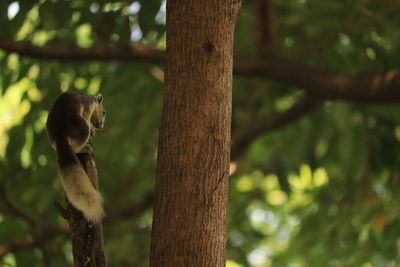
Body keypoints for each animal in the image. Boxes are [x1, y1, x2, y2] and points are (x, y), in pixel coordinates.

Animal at [46, 92, 106, 224]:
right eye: (104, 112)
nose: (101, 127)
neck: (92, 99)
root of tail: (60, 135)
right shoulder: (88, 107)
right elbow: (88, 118)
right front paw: (93, 130)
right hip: (82, 127)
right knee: (76, 146)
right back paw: (85, 147)